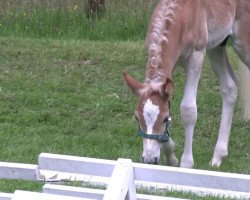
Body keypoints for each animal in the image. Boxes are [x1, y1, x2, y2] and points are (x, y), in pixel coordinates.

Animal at [123, 0, 250, 168]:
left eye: (164, 119)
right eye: (137, 117)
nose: (149, 160)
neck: (182, 15)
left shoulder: (196, 55)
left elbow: (188, 109)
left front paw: (186, 163)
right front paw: (171, 157)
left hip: (242, 43)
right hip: (216, 47)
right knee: (229, 86)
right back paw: (218, 156)